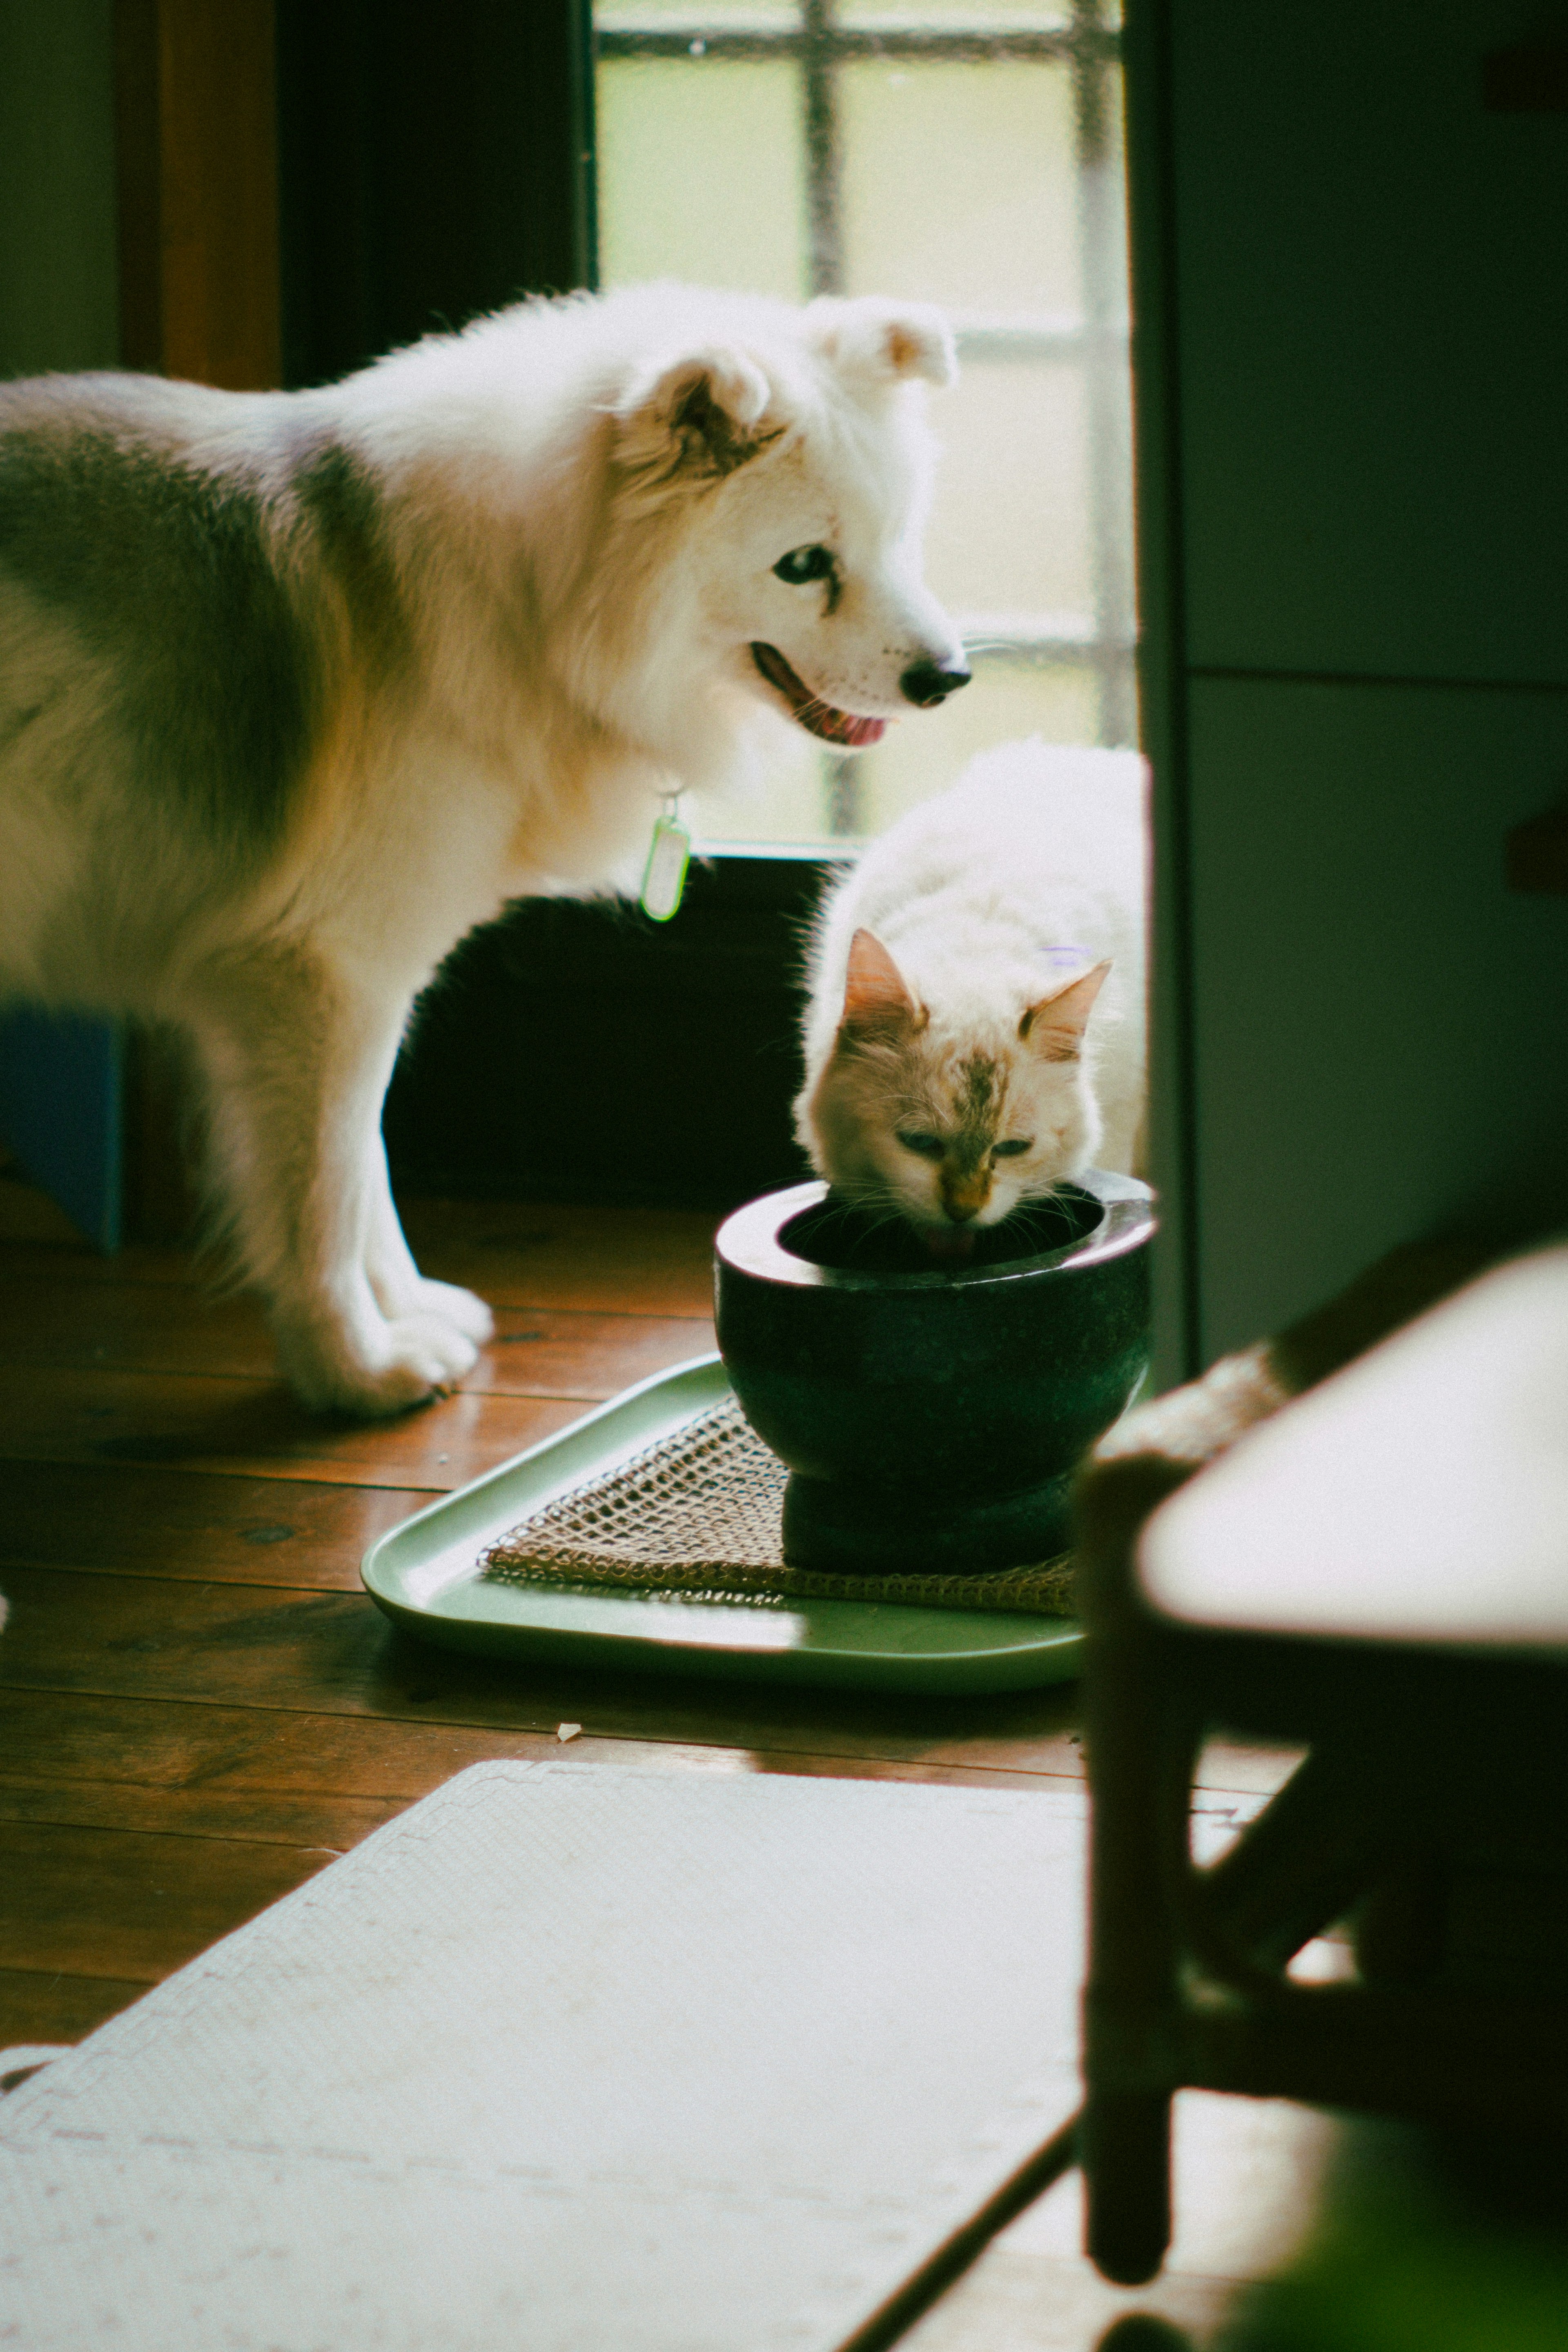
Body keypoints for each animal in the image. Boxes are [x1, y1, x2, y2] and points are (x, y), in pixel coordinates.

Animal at [0, 284, 968, 1401]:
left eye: (899, 539)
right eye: (805, 565)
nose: (948, 679)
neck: (524, 597)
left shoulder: (336, 989)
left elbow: (363, 1166)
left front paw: (404, 1311)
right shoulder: (324, 974)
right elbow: (323, 1189)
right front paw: (353, 1364)